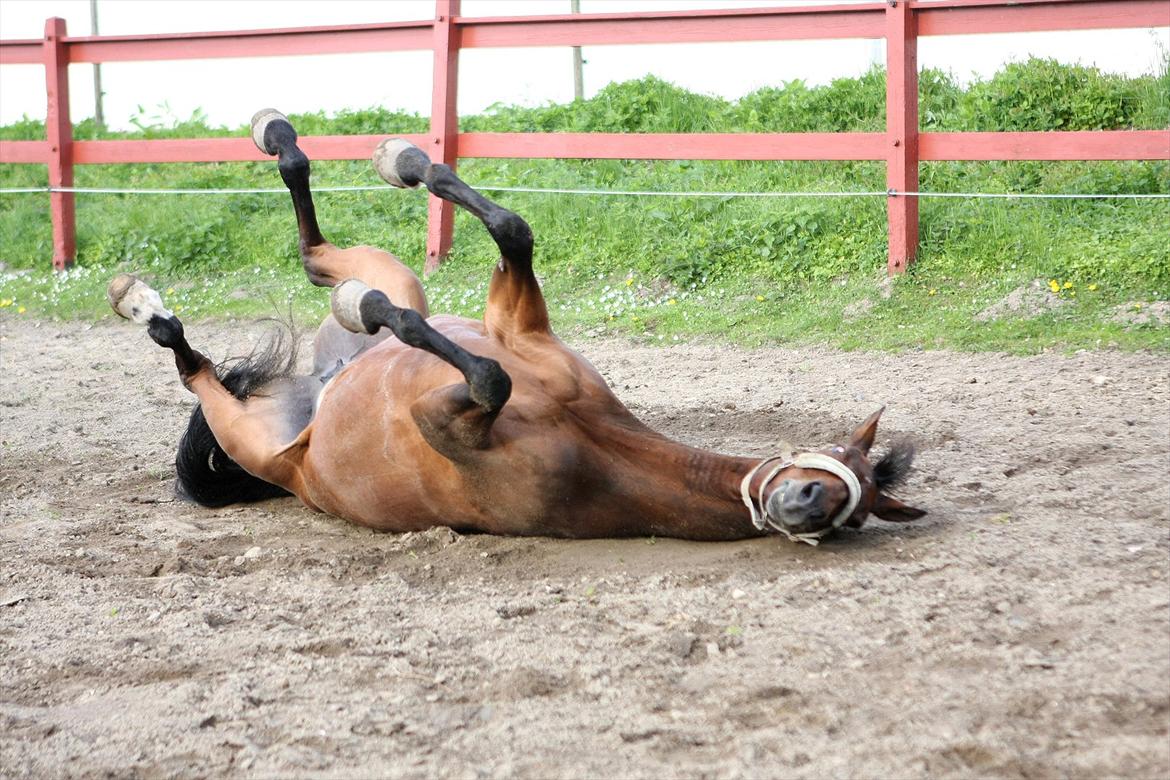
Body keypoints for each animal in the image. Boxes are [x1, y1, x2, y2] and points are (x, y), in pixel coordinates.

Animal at [107, 109, 921, 547]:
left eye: (855, 512)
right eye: (833, 461)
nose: (804, 502)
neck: (593, 442)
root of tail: (314, 392)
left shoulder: (444, 417)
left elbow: (486, 373)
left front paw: (370, 304)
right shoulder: (516, 326)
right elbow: (511, 233)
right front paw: (416, 167)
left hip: (252, 434)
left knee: (209, 356)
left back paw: (149, 304)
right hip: (390, 282)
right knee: (311, 260)